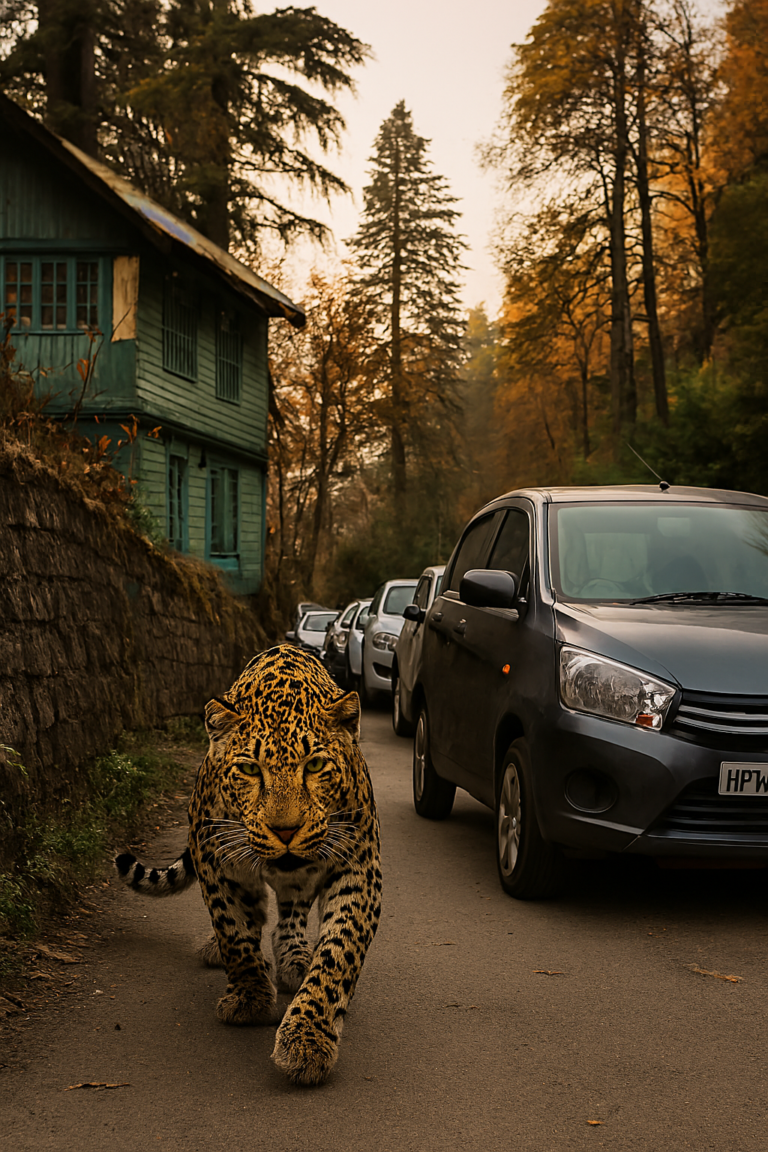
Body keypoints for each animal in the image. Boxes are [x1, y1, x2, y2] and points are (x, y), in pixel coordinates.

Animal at [114, 644, 382, 1086]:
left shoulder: (359, 866)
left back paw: (293, 954)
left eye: (315, 766)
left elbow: (337, 954)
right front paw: (250, 995)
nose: (285, 830)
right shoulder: (215, 860)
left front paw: (308, 1038)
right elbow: (234, 930)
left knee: (290, 911)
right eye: (250, 769)